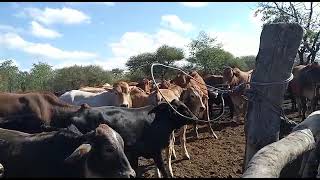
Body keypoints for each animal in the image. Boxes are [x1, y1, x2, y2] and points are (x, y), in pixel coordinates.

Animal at [62, 99, 196, 178]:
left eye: (184, 106)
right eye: (181, 108)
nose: (195, 117)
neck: (158, 121)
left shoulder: (136, 154)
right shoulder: (155, 152)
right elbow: (163, 170)